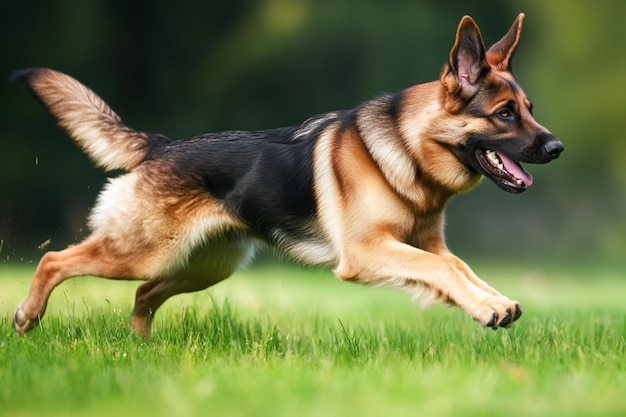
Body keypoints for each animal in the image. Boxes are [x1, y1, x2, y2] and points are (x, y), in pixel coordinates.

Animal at [13, 13, 560, 338]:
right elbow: (446, 271)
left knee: (143, 294)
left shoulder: (425, 247)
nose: (556, 148)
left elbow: (460, 269)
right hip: (143, 253)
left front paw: (494, 302)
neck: (409, 150)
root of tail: (160, 145)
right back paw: (27, 316)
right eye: (505, 114)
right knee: (56, 260)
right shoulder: (369, 252)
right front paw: (487, 308)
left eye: (530, 109)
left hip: (203, 266)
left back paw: (140, 348)